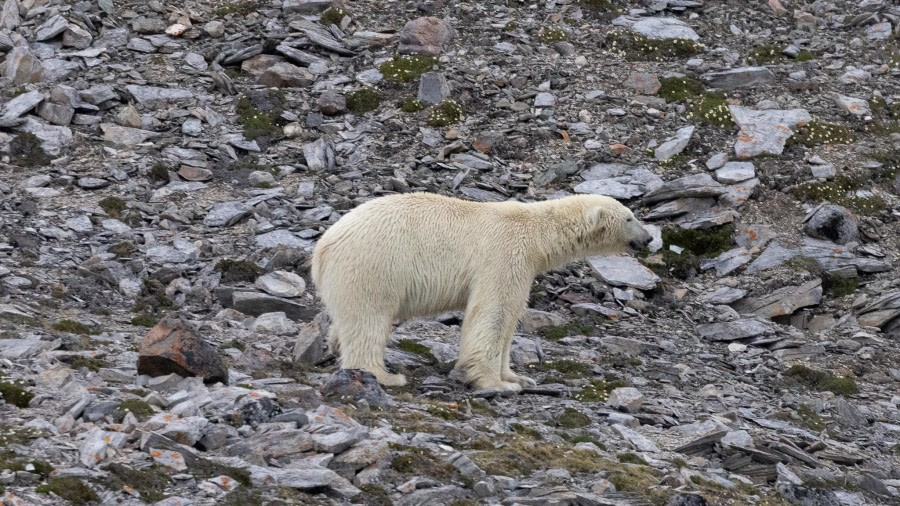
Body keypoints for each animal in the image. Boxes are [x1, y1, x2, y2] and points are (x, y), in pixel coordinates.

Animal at [310, 192, 652, 394]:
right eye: (629, 217)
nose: (648, 238)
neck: (536, 231)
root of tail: (322, 249)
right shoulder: (506, 253)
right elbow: (494, 312)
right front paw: (496, 384)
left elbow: (510, 320)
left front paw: (517, 377)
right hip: (375, 266)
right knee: (368, 319)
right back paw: (384, 375)